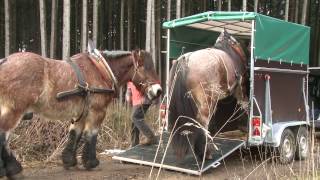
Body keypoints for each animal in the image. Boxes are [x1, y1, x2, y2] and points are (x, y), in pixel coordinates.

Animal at [0, 48, 161, 177]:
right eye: (145, 68)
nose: (158, 91)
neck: (102, 70)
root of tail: (5, 61)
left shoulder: (80, 113)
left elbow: (75, 134)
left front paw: (69, 161)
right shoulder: (97, 111)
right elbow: (91, 134)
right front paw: (91, 162)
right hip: (14, 110)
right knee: (3, 136)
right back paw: (14, 169)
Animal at [169, 29, 249, 160]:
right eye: (236, 42)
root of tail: (186, 59)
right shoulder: (239, 88)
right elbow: (244, 104)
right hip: (206, 101)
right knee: (203, 122)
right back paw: (206, 152)